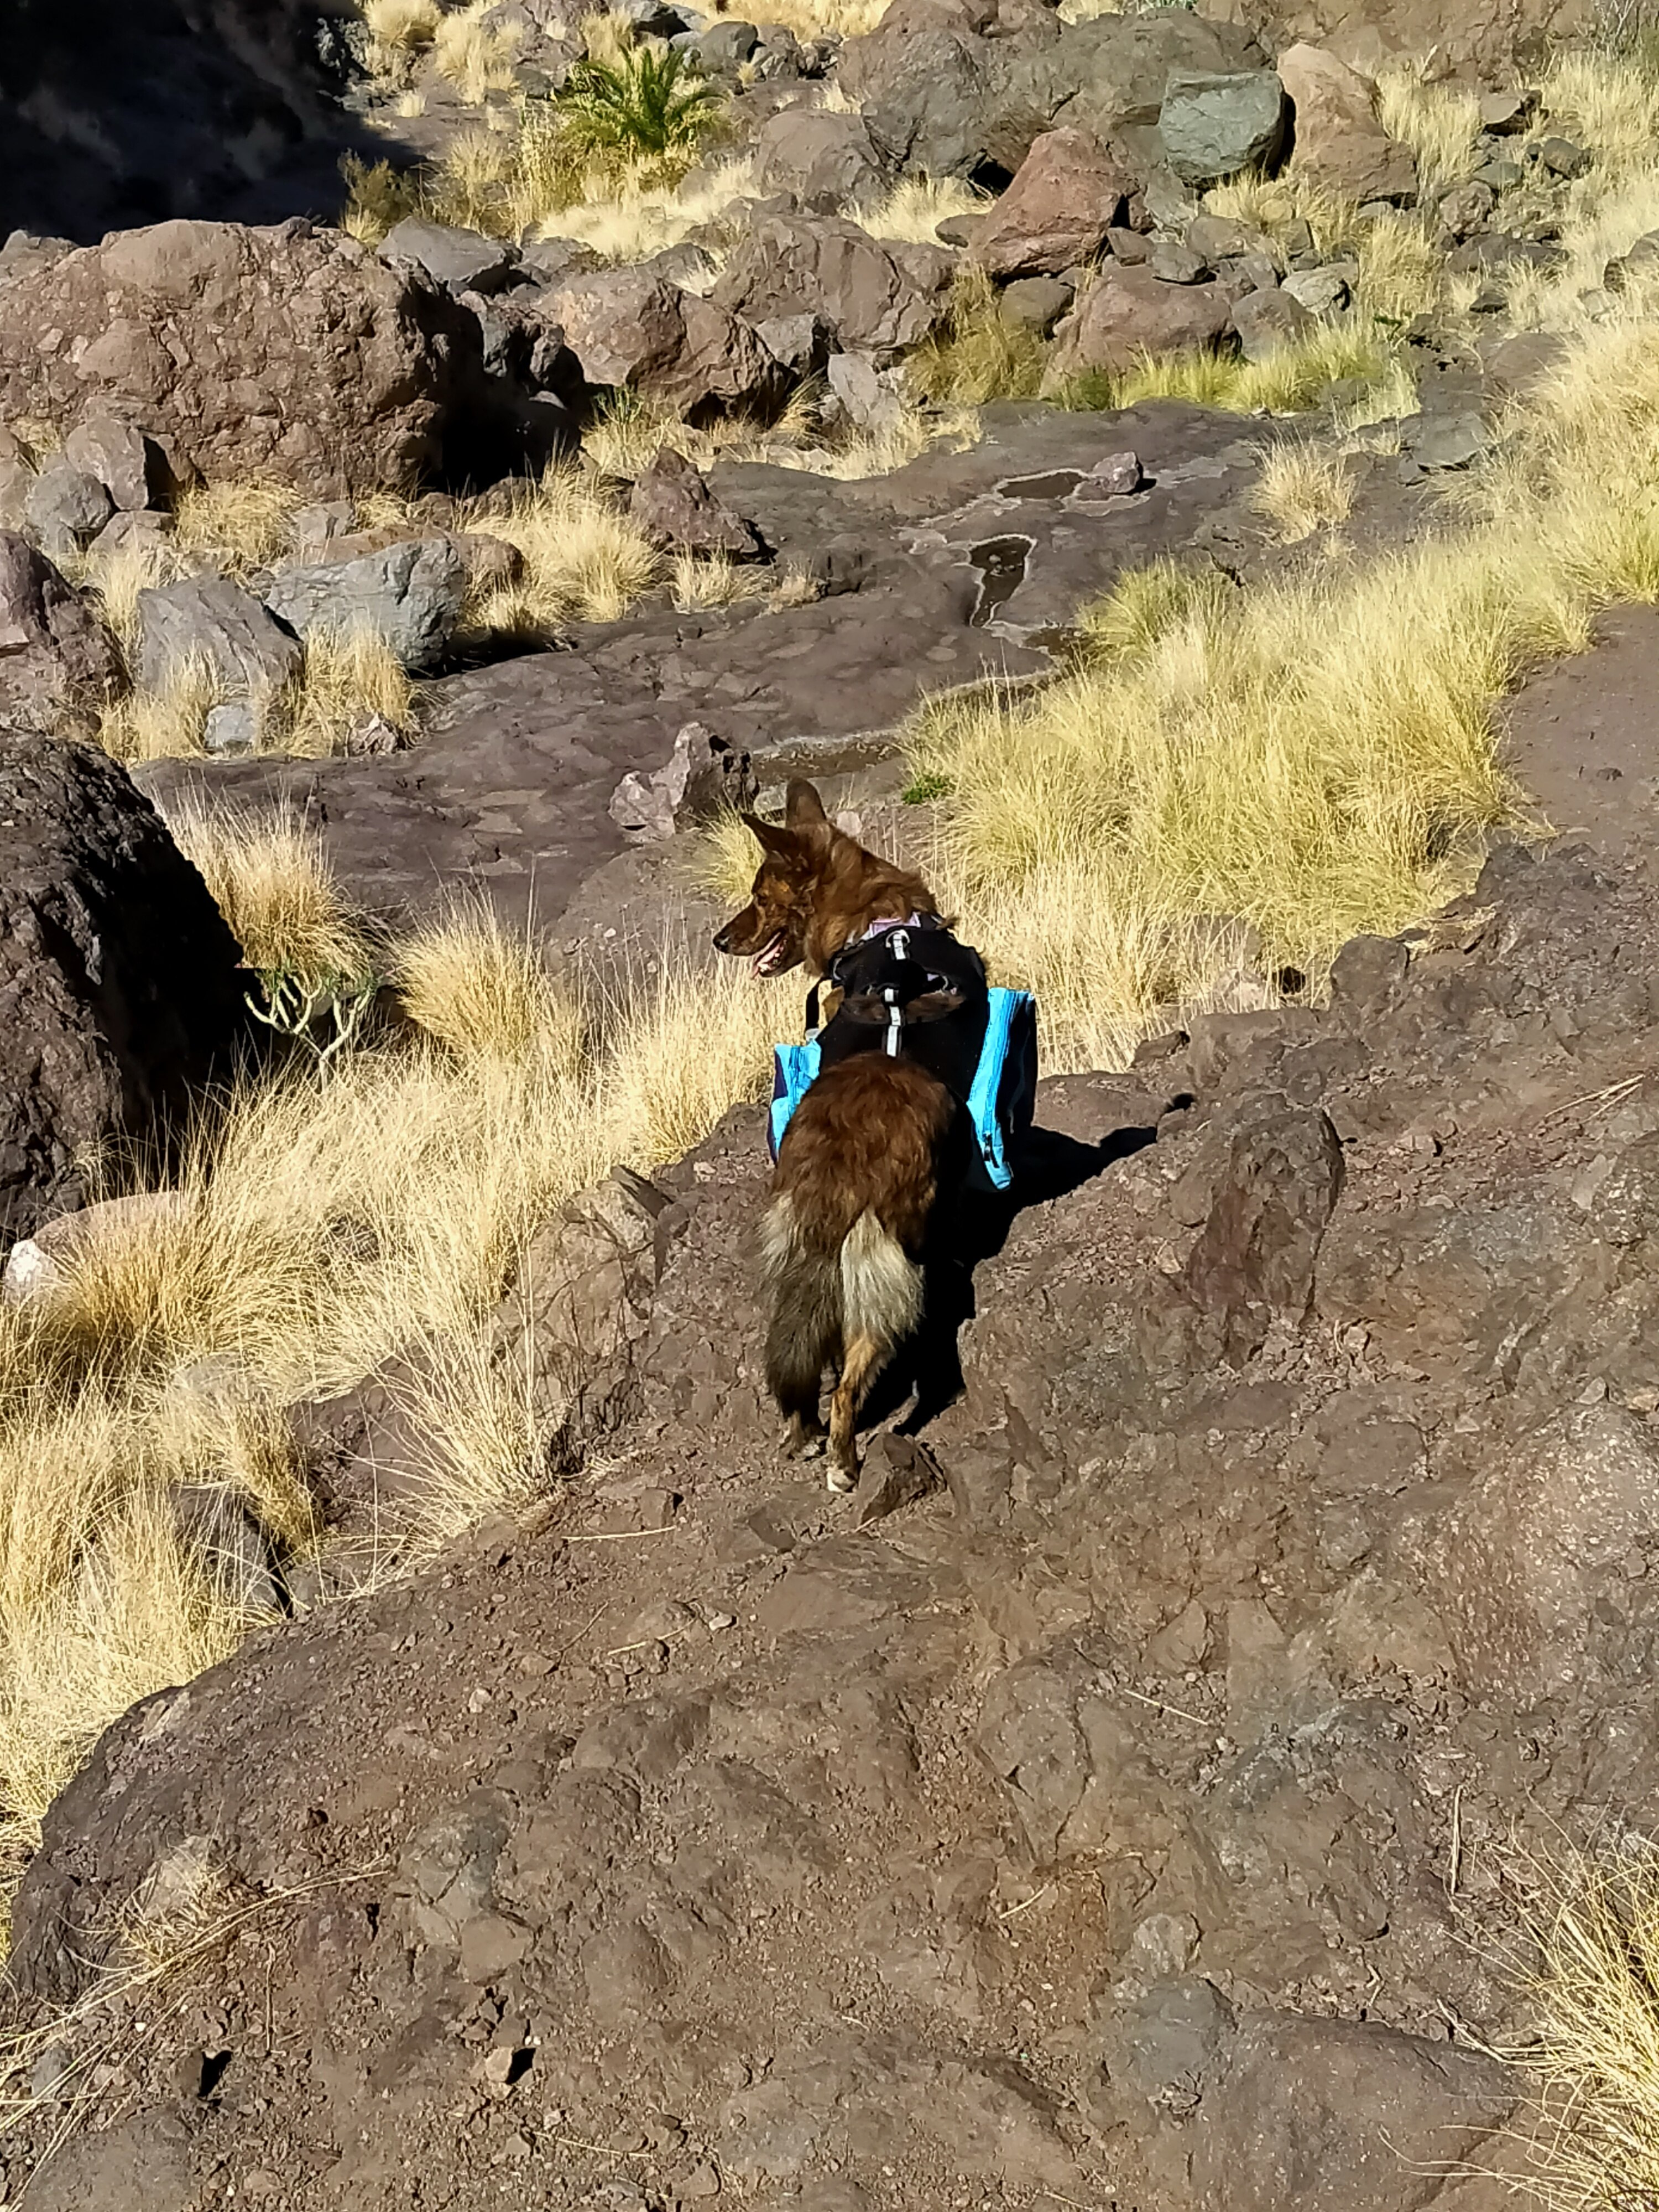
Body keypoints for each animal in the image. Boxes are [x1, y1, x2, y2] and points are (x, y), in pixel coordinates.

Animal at [717, 779, 960, 1486]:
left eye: (759, 899)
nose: (719, 939)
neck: (876, 922)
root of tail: (835, 1178)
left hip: (799, 1271)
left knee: (801, 1365)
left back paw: (804, 1437)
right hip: (888, 1289)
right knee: (850, 1386)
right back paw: (845, 1462)